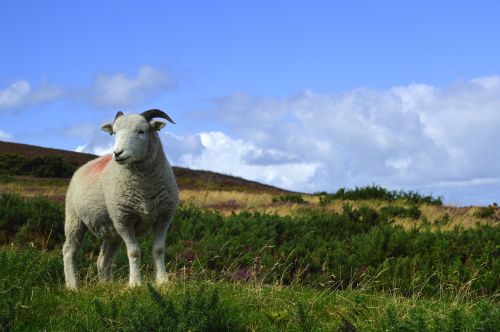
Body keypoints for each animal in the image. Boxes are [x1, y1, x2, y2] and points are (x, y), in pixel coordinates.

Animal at [62, 109, 179, 288]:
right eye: (114, 133)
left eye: (141, 131)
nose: (117, 154)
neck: (144, 187)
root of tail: (84, 166)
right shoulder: (123, 220)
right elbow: (134, 252)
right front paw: (135, 283)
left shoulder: (164, 217)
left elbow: (159, 249)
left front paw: (162, 281)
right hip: (74, 219)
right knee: (69, 251)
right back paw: (72, 286)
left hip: (111, 231)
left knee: (102, 259)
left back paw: (106, 286)